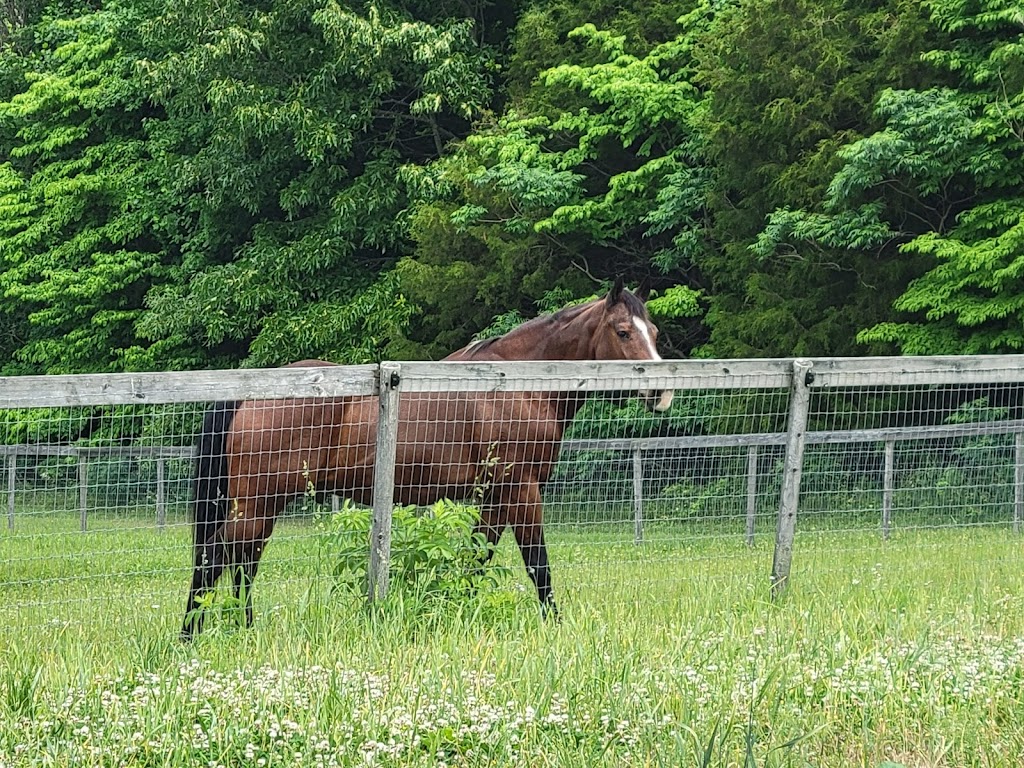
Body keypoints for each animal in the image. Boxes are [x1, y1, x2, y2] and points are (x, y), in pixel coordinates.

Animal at [180, 280, 675, 638]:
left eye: (653, 333)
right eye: (623, 332)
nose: (661, 393)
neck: (511, 386)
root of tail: (248, 394)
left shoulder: (495, 497)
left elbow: (478, 557)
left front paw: (458, 610)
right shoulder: (520, 490)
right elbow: (538, 565)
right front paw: (555, 626)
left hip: (261, 506)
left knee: (241, 562)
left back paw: (242, 628)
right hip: (257, 503)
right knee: (216, 558)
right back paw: (191, 634)